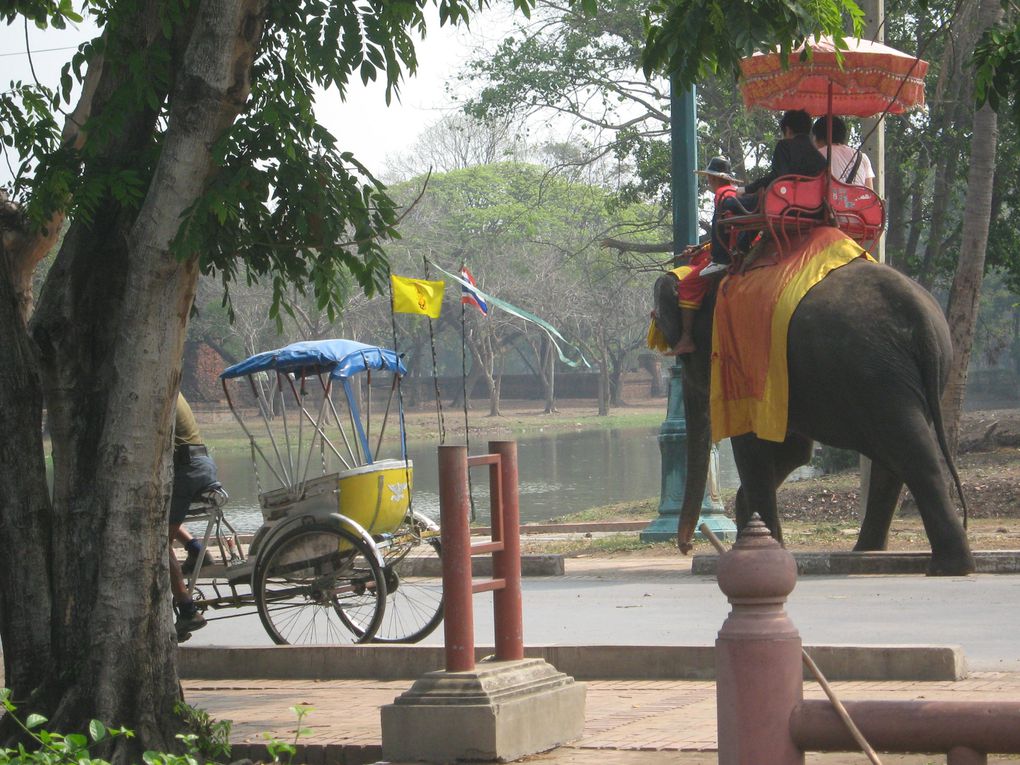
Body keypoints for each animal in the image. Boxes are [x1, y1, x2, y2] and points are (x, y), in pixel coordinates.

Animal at [652, 255, 979, 579]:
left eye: (685, 357)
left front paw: (763, 549)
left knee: (910, 451)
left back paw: (947, 566)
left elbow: (754, 445)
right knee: (898, 452)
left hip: (874, 371)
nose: (686, 548)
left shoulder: (748, 361)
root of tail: (919, 313)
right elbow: (795, 452)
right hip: (908, 372)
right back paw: (869, 552)